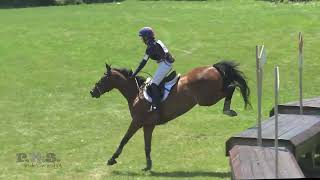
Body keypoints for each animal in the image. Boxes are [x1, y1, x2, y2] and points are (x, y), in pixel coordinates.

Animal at [89, 61, 250, 171]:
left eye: (102, 79)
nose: (92, 92)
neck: (135, 94)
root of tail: (213, 67)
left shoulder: (137, 122)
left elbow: (124, 139)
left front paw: (112, 159)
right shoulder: (148, 125)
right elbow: (147, 146)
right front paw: (148, 166)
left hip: (207, 98)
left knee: (232, 87)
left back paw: (228, 110)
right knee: (232, 86)